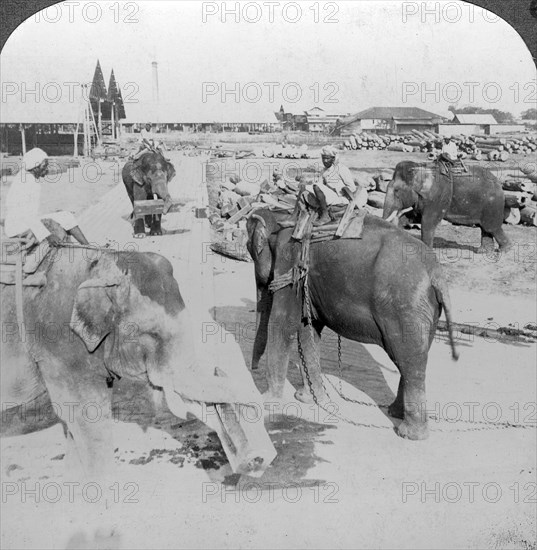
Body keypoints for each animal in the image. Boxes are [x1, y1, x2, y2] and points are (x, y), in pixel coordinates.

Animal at [1, 239, 262, 476]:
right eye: (151, 335)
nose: (256, 460)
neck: (103, 265)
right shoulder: (59, 348)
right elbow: (86, 418)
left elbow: (77, 425)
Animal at [246, 209, 456, 442]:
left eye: (250, 250)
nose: (253, 368)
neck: (286, 217)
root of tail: (436, 273)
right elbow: (308, 329)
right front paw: (309, 399)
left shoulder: (290, 267)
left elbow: (283, 324)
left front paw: (266, 402)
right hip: (426, 312)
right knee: (412, 357)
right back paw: (395, 413)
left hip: (405, 308)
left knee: (409, 361)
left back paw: (408, 434)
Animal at [378, 161, 508, 253]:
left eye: (396, 191)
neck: (419, 168)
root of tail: (499, 183)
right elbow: (414, 217)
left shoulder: (437, 197)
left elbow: (427, 222)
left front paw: (427, 251)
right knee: (485, 228)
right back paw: (483, 252)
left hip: (492, 205)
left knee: (492, 227)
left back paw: (503, 251)